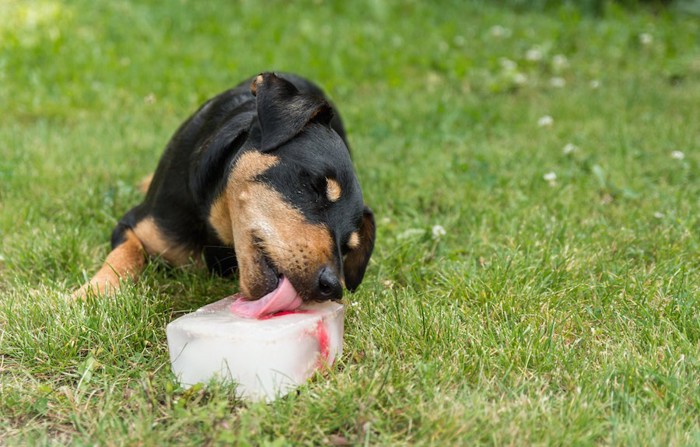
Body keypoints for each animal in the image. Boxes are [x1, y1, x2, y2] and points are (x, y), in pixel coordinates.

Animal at [74, 73, 374, 306]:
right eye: (315, 185)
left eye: (348, 246)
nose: (333, 287)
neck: (215, 226)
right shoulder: (135, 225)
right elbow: (124, 255)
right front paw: (91, 293)